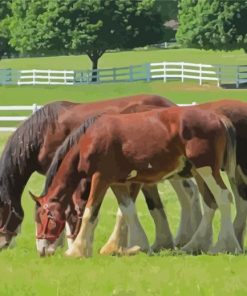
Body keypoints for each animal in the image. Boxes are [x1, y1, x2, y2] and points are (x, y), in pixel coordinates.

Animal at [33, 104, 241, 256]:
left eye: (45, 217)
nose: (42, 250)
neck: (91, 137)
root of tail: (218, 118)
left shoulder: (101, 179)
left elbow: (90, 212)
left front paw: (77, 251)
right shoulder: (117, 182)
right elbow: (127, 210)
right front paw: (134, 245)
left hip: (207, 170)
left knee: (223, 197)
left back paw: (225, 245)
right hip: (200, 173)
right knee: (210, 202)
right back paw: (195, 245)